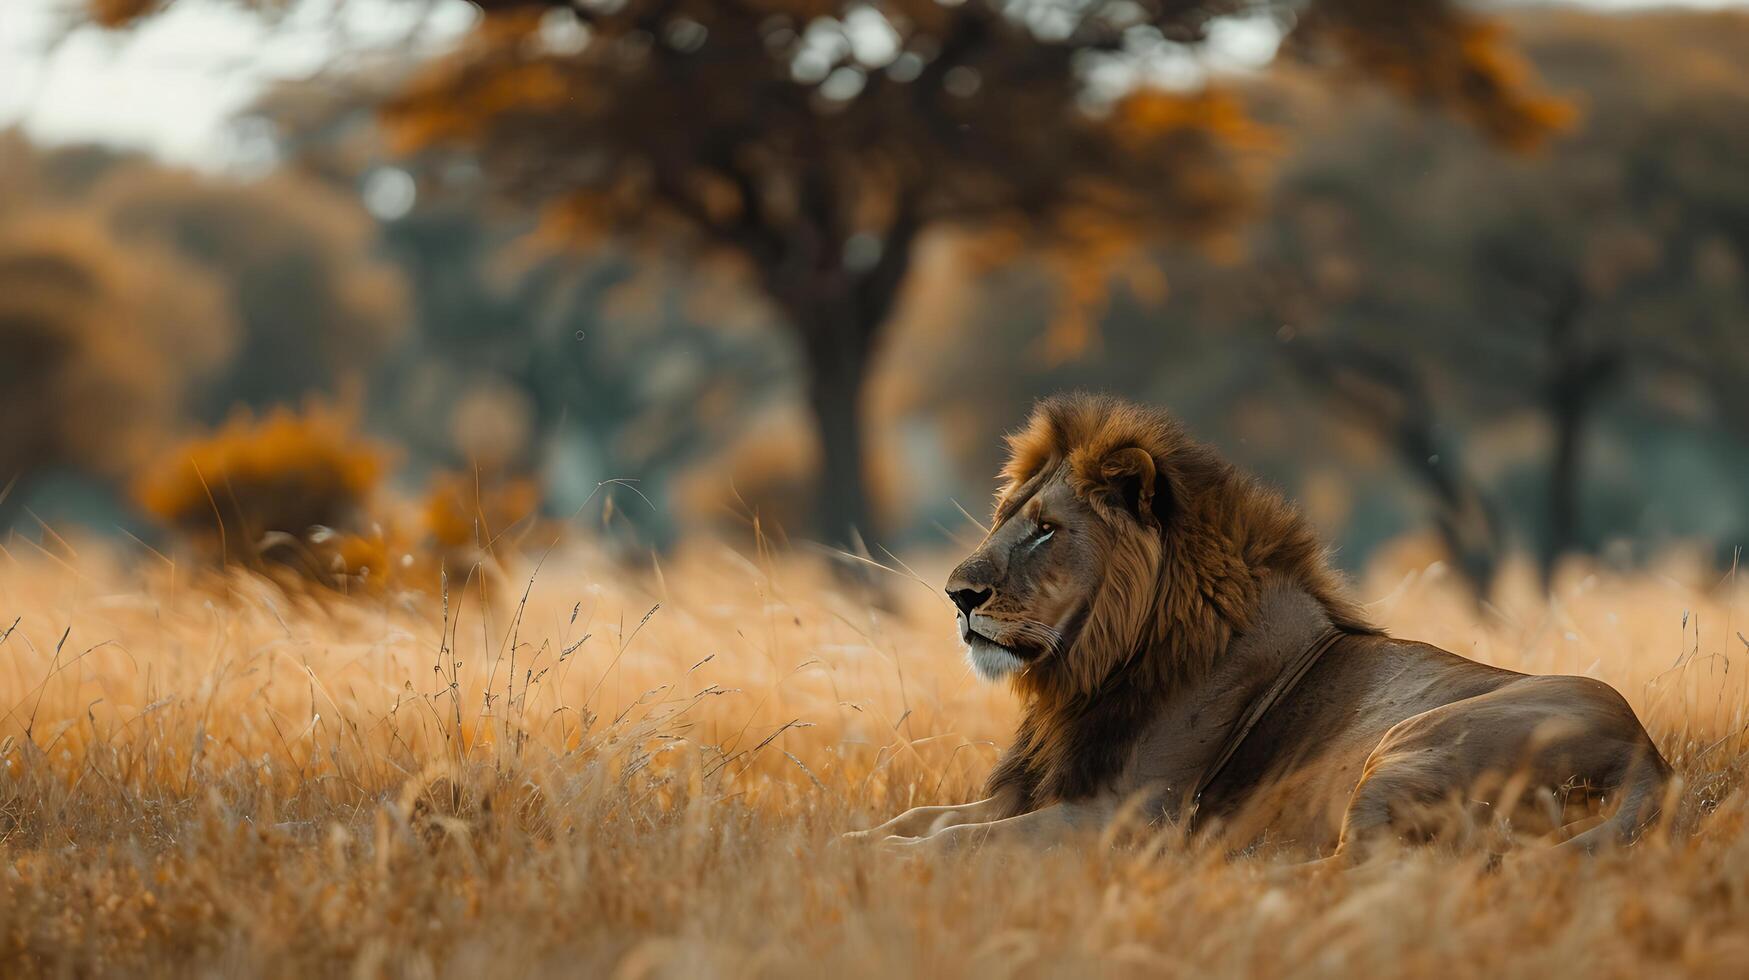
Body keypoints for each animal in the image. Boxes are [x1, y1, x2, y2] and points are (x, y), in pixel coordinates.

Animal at [846, 393, 1665, 861]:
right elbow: (924, 816)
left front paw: (879, 863)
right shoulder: (1041, 789)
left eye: (1047, 529)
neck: (1089, 673)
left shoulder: (1126, 816)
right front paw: (836, 842)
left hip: (1414, 743)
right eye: (1006, 519)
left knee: (1364, 870)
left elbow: (959, 839)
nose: (956, 595)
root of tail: (1650, 764)